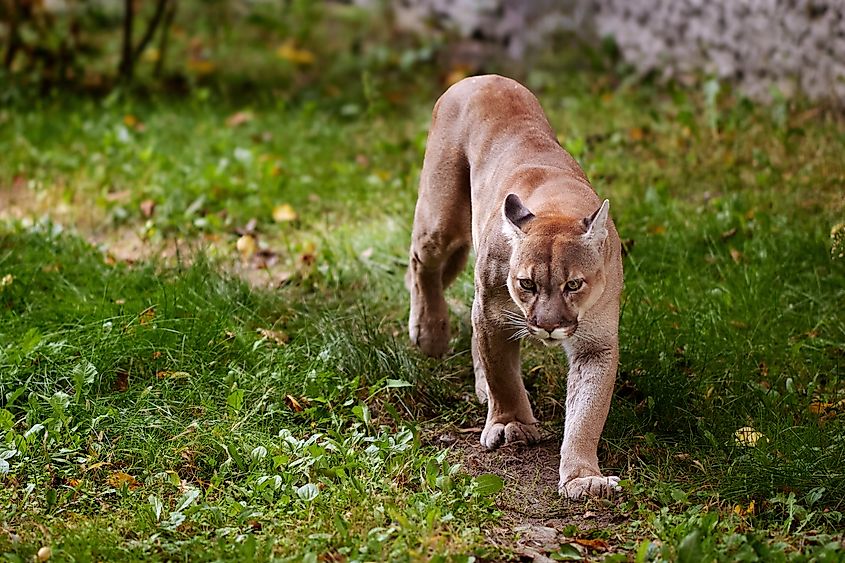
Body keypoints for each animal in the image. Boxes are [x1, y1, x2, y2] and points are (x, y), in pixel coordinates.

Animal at [406, 74, 624, 498]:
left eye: (574, 284)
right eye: (527, 283)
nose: (548, 326)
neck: (559, 205)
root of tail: (480, 77)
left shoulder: (597, 342)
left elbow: (588, 411)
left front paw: (582, 477)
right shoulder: (494, 314)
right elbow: (503, 374)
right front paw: (510, 424)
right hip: (439, 219)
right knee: (421, 263)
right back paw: (430, 331)